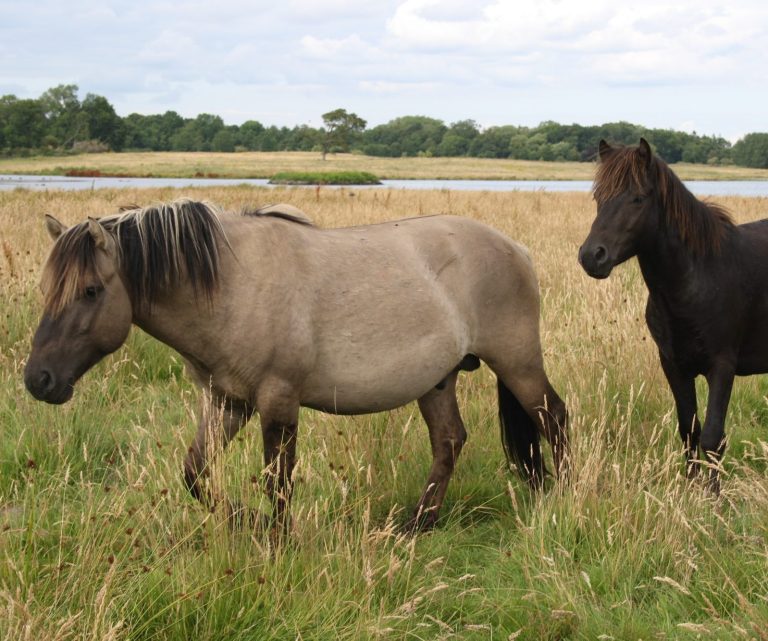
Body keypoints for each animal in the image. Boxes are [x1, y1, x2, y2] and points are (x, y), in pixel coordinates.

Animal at [24, 198, 567, 533]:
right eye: (46, 288)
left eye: (90, 291)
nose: (38, 380)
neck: (232, 286)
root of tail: (517, 249)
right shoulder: (227, 401)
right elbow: (196, 473)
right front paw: (247, 520)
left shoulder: (277, 399)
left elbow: (277, 480)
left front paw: (278, 538)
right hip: (438, 379)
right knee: (449, 441)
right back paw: (418, 524)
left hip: (517, 361)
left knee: (553, 418)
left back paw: (561, 499)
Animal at [579, 138, 768, 491]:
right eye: (599, 198)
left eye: (638, 198)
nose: (591, 256)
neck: (697, 279)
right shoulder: (674, 365)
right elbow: (689, 430)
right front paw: (692, 488)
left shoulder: (722, 365)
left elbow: (712, 437)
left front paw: (711, 495)